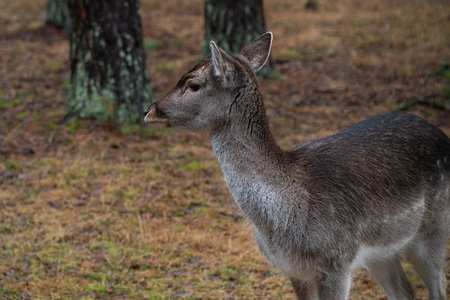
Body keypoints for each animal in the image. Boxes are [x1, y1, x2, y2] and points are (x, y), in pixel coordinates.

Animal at [144, 31, 450, 298]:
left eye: (192, 84)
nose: (150, 111)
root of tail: (444, 136)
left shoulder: (336, 263)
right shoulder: (293, 270)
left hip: (434, 230)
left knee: (438, 288)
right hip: (382, 254)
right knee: (405, 291)